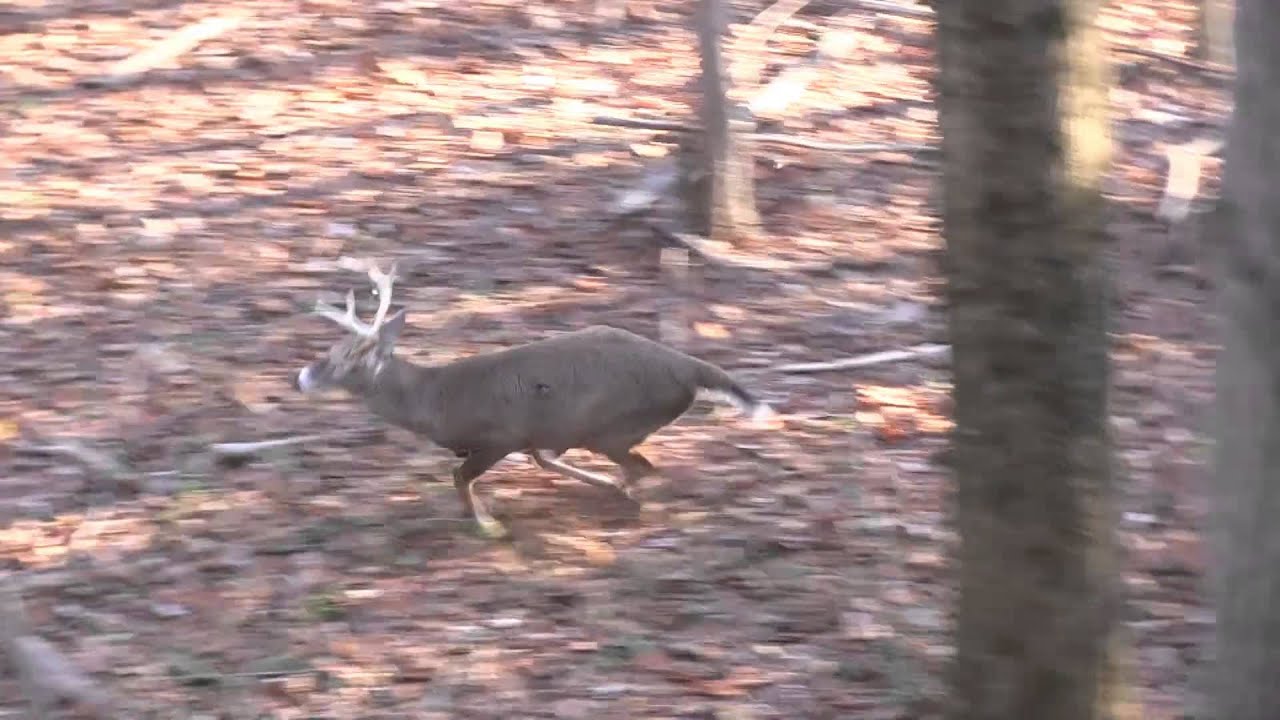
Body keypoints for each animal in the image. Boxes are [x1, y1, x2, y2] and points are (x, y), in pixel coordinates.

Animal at [294, 258, 777, 538]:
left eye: (346, 359)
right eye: (332, 350)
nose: (301, 376)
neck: (433, 401)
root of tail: (690, 369)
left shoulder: (499, 436)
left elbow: (460, 477)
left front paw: (488, 524)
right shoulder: (535, 435)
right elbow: (542, 458)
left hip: (612, 425)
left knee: (643, 467)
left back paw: (630, 502)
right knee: (637, 468)